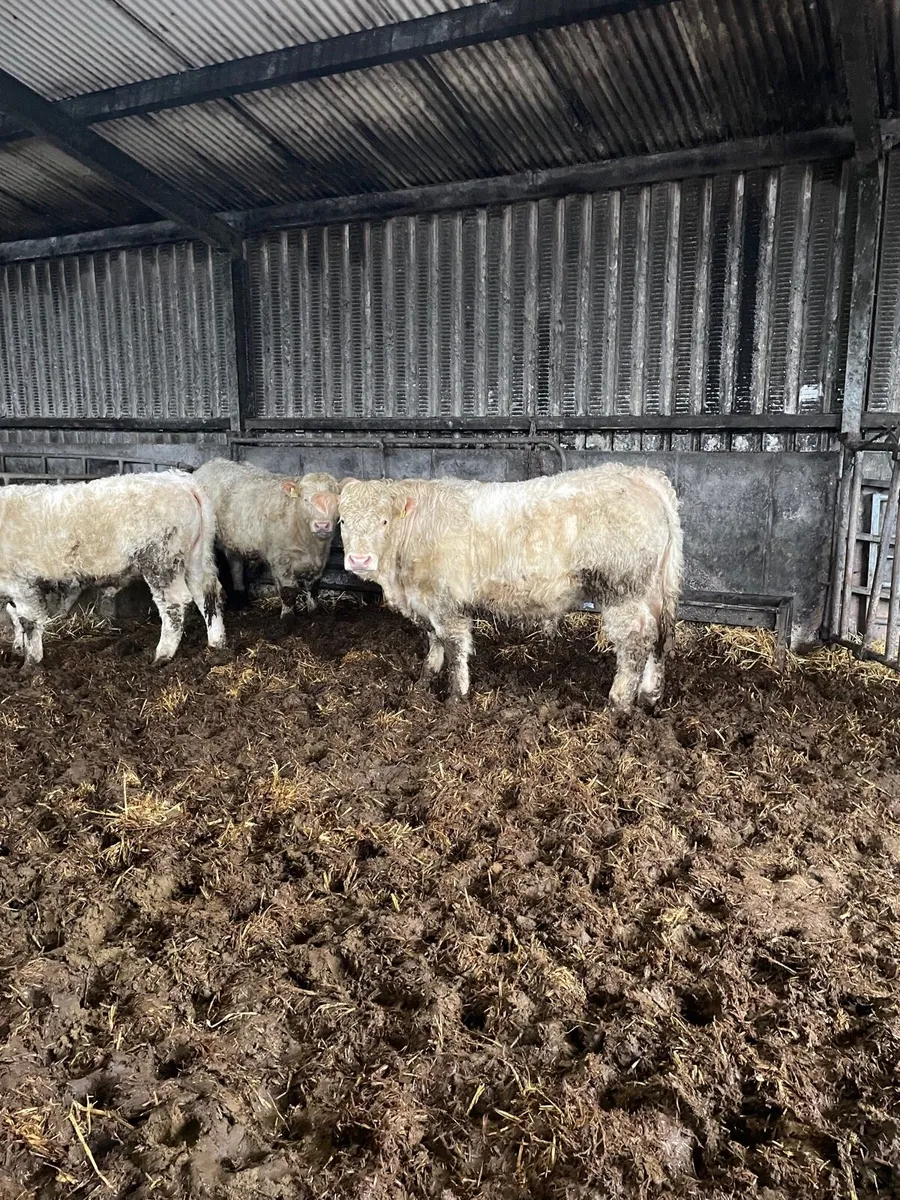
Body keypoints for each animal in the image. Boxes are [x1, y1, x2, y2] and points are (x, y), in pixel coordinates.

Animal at [0, 470, 225, 670]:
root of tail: (181, 481)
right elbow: (14, 617)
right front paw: (18, 650)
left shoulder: (20, 582)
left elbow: (28, 621)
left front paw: (30, 663)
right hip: (195, 556)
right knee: (206, 593)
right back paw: (216, 643)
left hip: (160, 560)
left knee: (174, 603)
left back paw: (162, 655)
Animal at [193, 460, 340, 618]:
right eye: (306, 500)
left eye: (335, 501)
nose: (322, 525)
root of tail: (210, 464)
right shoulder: (280, 560)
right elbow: (288, 592)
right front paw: (287, 619)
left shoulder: (320, 560)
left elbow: (313, 589)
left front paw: (314, 614)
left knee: (235, 564)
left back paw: (241, 598)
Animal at [338, 465, 683, 712]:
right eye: (342, 521)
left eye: (384, 521)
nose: (359, 559)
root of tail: (639, 474)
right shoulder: (427, 600)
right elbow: (433, 639)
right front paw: (425, 680)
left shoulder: (447, 603)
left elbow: (454, 647)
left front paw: (455, 697)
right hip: (653, 591)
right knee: (659, 638)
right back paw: (649, 696)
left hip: (623, 590)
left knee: (635, 641)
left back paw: (618, 704)